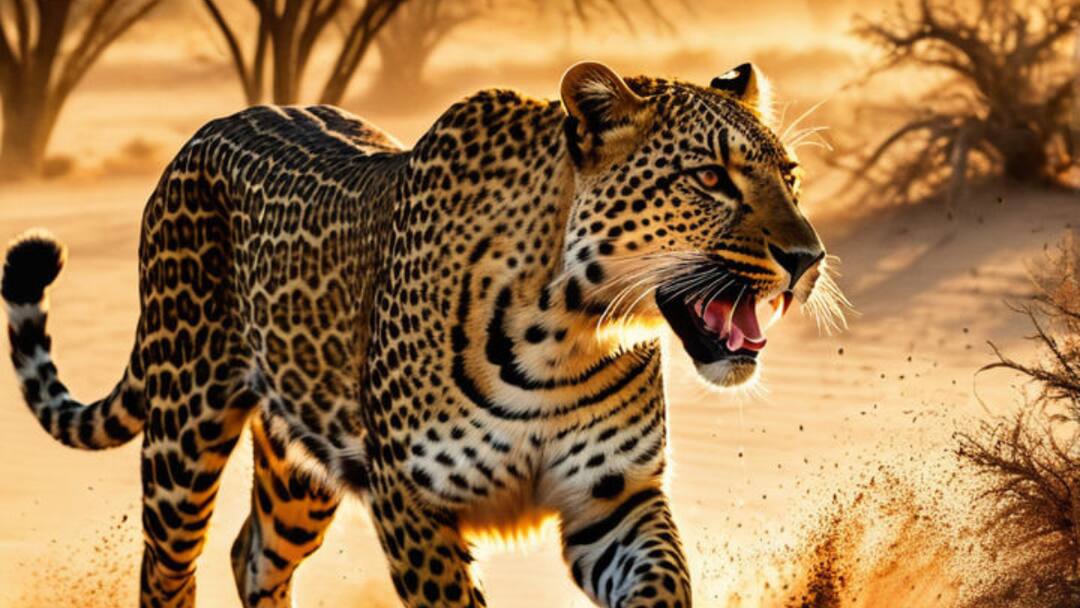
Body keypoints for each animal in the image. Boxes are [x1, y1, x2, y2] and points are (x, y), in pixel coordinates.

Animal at [3, 61, 842, 608]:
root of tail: (208, 129)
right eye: (710, 179)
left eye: (790, 174)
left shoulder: (613, 496)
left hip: (302, 466)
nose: (808, 258)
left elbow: (662, 579)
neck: (571, 327)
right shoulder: (408, 499)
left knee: (254, 554)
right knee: (166, 569)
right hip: (185, 432)